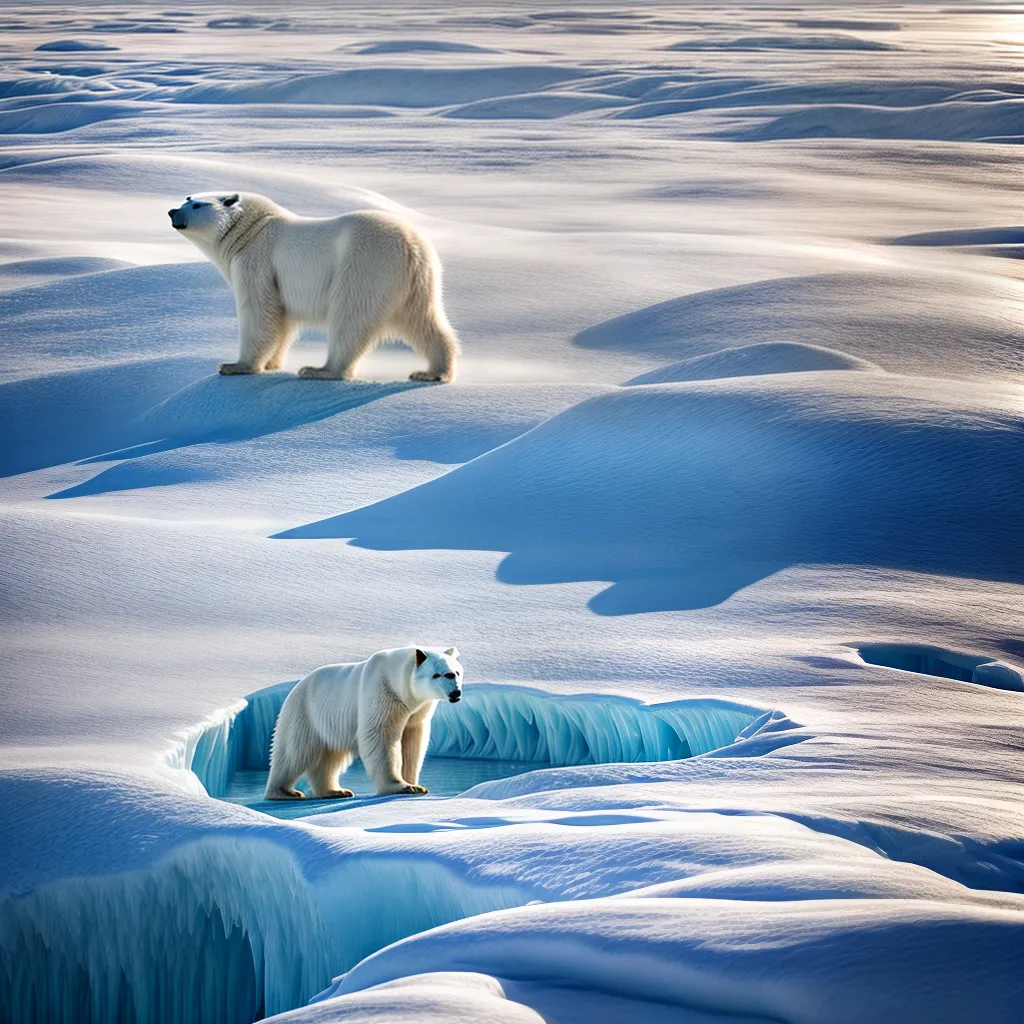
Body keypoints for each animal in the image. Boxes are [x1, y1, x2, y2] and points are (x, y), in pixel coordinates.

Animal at [167, 192, 460, 383]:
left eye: (197, 204)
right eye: (186, 198)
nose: (172, 211)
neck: (251, 229)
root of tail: (410, 244)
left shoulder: (257, 260)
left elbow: (258, 311)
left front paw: (236, 365)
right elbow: (281, 318)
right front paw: (272, 364)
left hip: (364, 265)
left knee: (349, 317)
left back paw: (320, 370)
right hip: (418, 281)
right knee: (424, 320)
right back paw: (433, 372)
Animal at [264, 646, 463, 800]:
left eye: (456, 672)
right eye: (437, 674)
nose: (456, 693)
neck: (397, 681)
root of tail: (296, 687)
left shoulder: (415, 712)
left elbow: (413, 741)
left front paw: (415, 783)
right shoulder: (382, 693)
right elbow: (381, 736)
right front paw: (403, 786)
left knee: (330, 756)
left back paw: (335, 791)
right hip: (304, 713)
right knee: (293, 752)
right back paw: (284, 792)